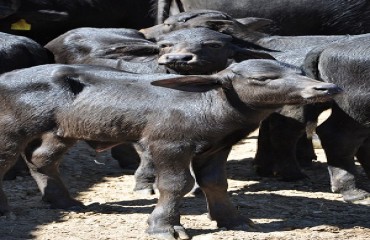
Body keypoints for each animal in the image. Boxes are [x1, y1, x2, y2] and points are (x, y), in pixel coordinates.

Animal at [0, 59, 342, 238]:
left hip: (61, 131)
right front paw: (165, 226)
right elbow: (177, 184)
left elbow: (215, 183)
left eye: (298, 71)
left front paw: (234, 220)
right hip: (11, 129)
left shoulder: (216, 148)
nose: (327, 87)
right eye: (263, 78)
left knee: (40, 158)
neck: (210, 102)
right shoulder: (168, 144)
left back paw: (63, 201)